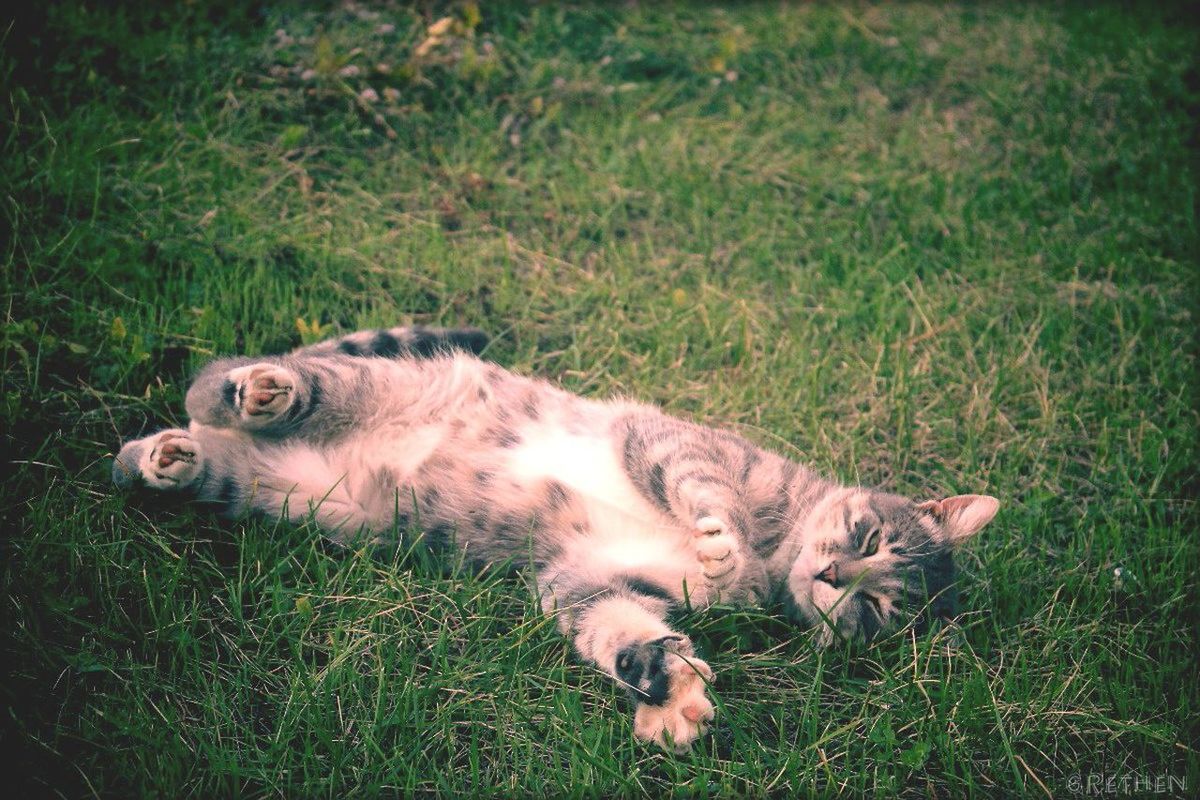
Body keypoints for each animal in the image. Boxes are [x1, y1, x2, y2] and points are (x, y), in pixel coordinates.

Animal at [112, 323, 998, 753]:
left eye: (878, 610)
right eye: (870, 534)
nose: (837, 578)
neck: (779, 559)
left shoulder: (580, 574)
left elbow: (615, 629)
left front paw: (667, 693)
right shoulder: (667, 440)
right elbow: (703, 490)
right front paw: (719, 542)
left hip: (282, 494)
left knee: (179, 445)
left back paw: (165, 458)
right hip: (357, 384)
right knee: (228, 380)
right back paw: (262, 390)